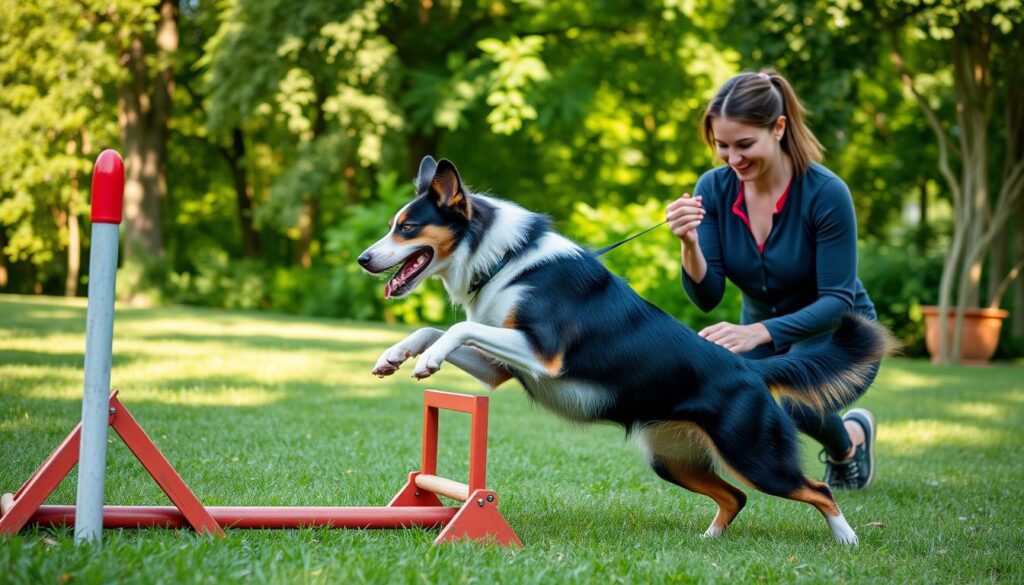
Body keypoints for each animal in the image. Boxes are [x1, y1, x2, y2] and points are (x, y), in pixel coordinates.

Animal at [358, 154, 888, 545]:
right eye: (393, 225)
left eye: (407, 228)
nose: (363, 259)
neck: (505, 259)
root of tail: (750, 369)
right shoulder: (499, 367)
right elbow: (432, 328)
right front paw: (393, 356)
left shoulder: (542, 353)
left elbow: (456, 330)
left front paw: (427, 362)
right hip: (672, 460)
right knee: (735, 497)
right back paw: (710, 540)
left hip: (756, 456)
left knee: (817, 489)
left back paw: (847, 540)